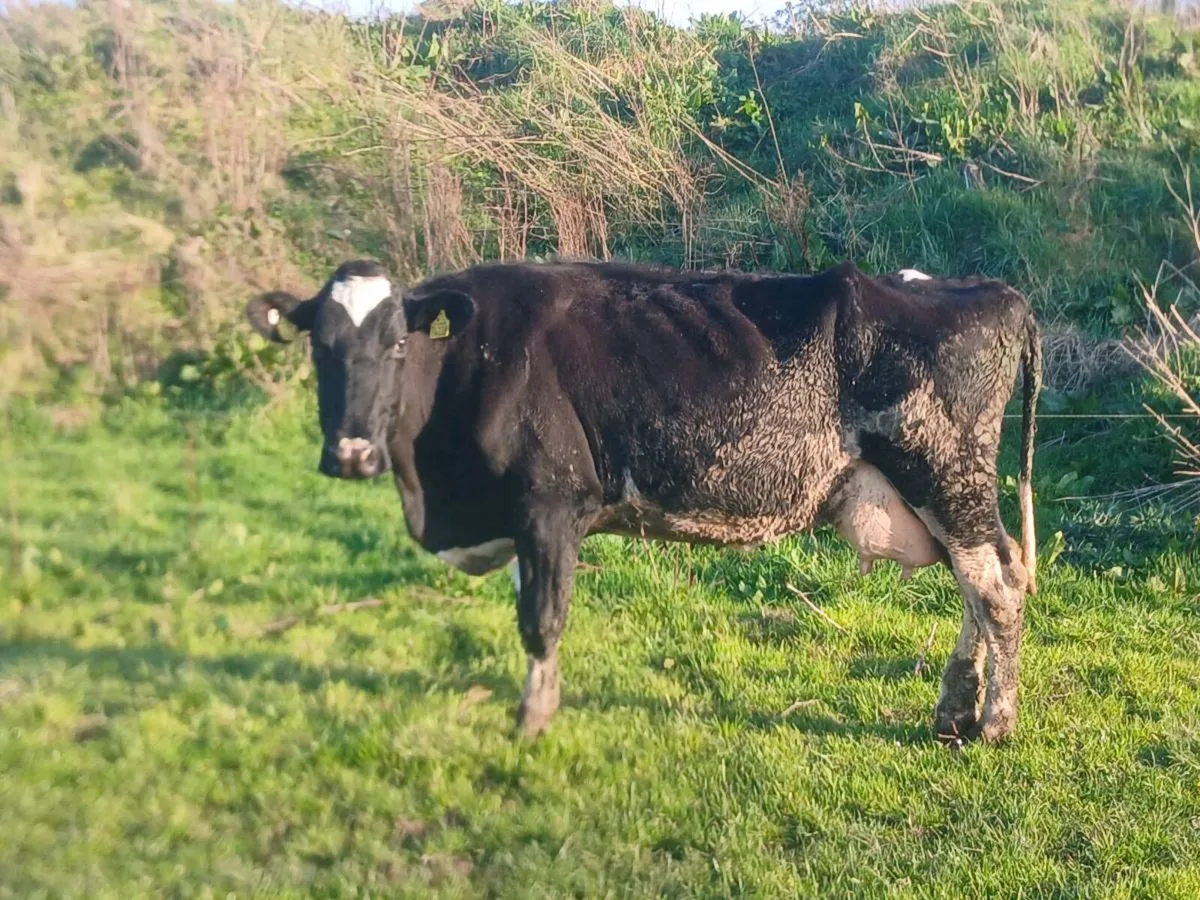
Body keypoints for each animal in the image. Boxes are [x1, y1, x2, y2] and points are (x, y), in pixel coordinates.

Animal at [246, 258, 1041, 745]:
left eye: (396, 346)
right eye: (319, 347)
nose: (351, 454)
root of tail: (990, 291)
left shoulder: (551, 504)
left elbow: (541, 620)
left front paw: (532, 719)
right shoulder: (519, 516)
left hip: (945, 473)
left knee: (995, 587)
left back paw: (993, 723)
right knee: (981, 581)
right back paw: (955, 708)